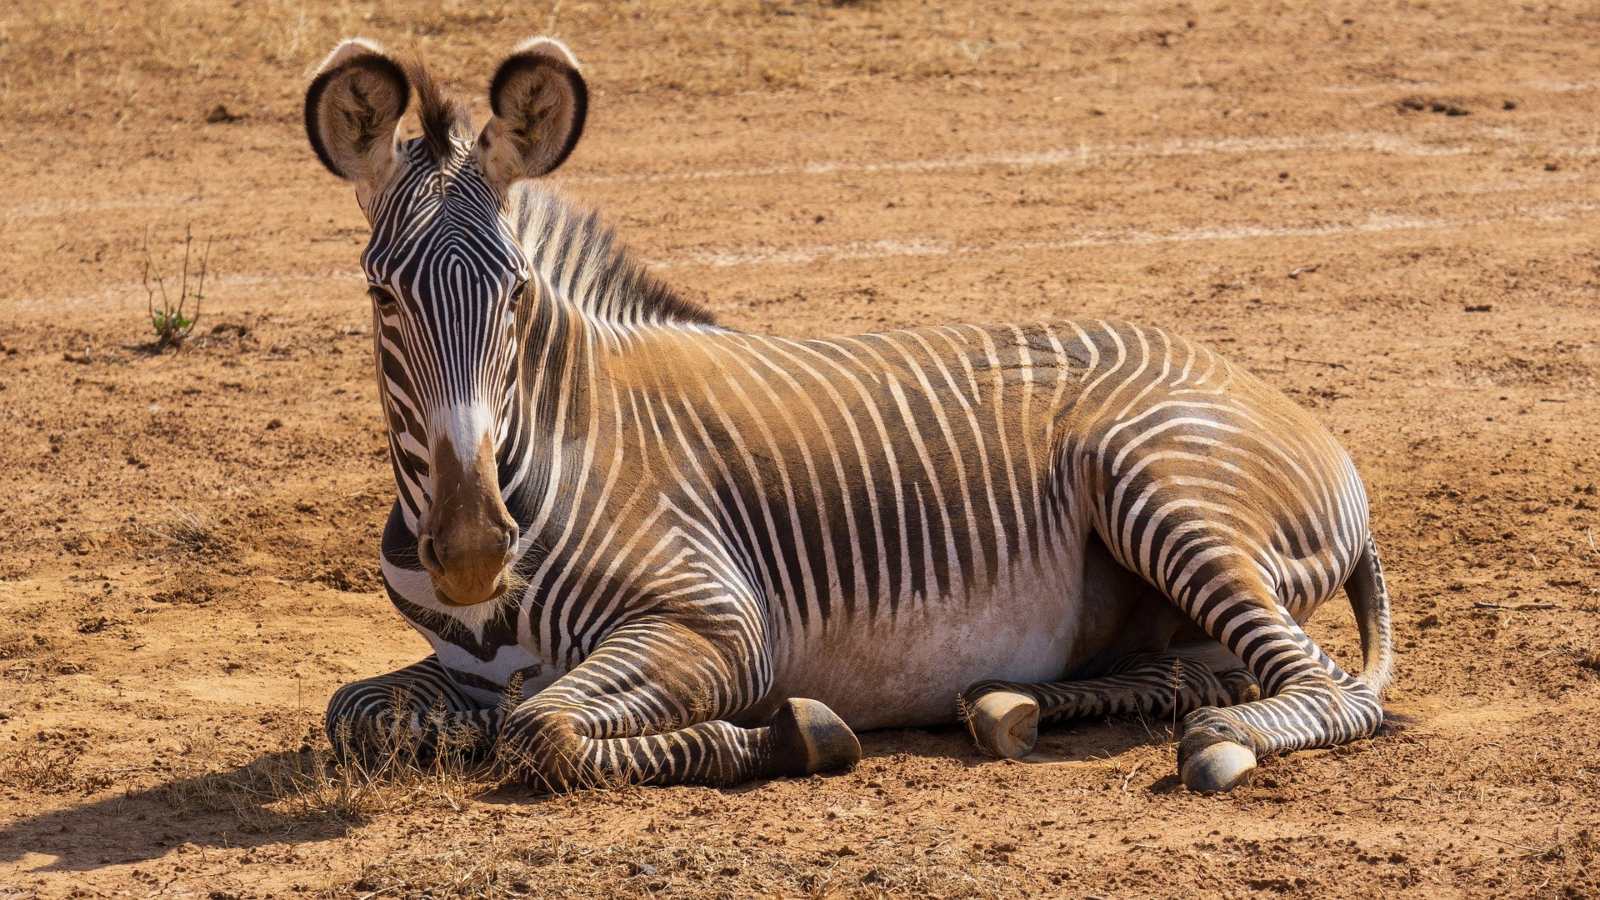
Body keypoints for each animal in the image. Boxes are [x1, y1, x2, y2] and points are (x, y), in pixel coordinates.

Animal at [304, 36, 1394, 794]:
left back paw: (1218, 749)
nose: (473, 552)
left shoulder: (718, 621)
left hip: (1163, 489)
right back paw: (1007, 704)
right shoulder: (462, 671)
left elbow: (543, 733)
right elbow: (350, 709)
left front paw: (791, 734)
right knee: (1207, 672)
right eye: (380, 296)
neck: (557, 431)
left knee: (1326, 689)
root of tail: (1265, 392)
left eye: (517, 294)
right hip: (1162, 599)